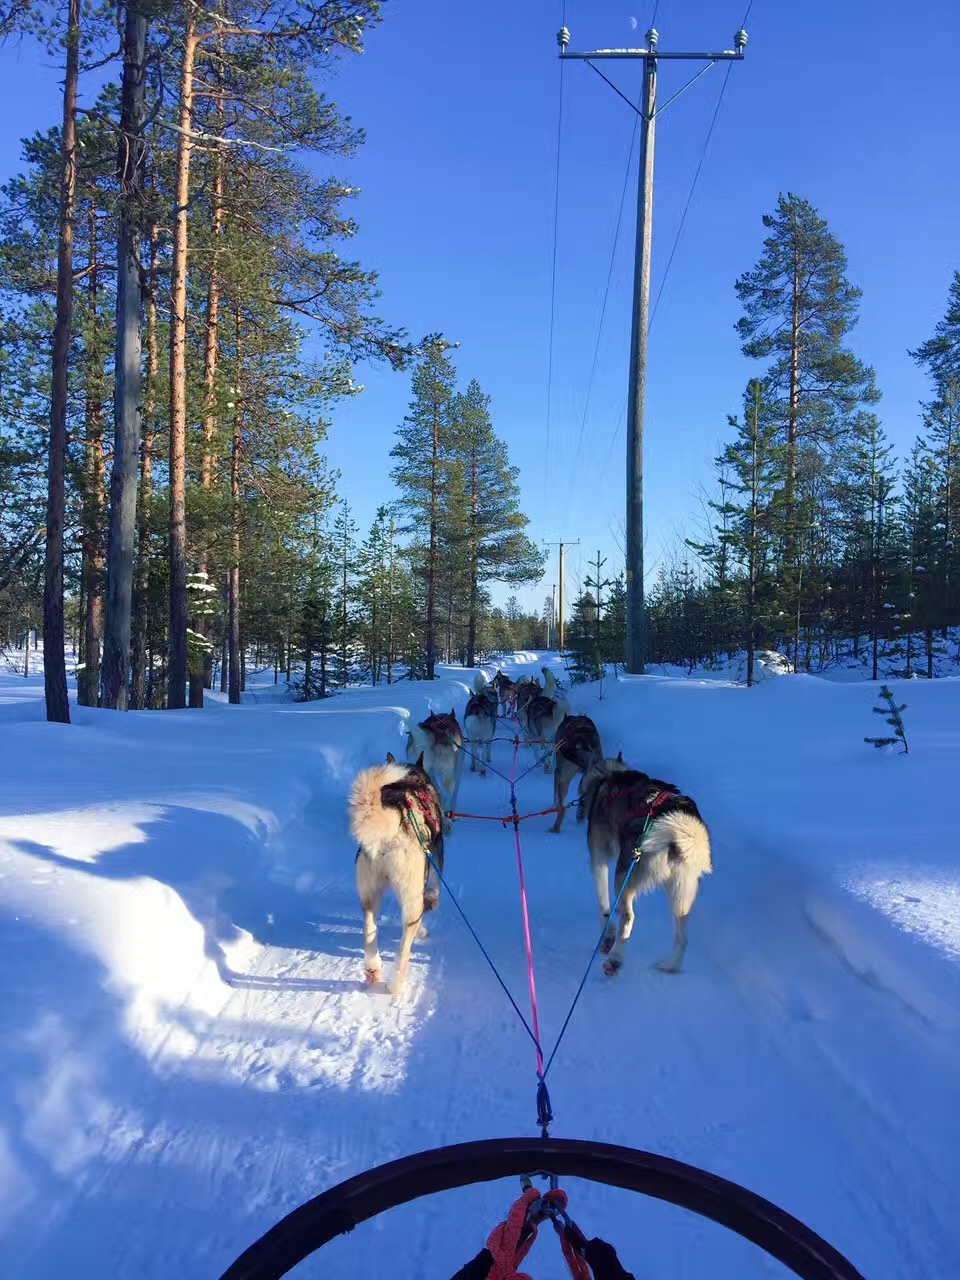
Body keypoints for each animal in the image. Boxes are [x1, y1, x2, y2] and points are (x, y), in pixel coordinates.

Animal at [350, 752, 448, 993]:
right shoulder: (436, 854)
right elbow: (434, 889)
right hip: (412, 897)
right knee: (404, 947)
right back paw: (395, 985)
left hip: (369, 894)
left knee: (369, 929)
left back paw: (372, 968)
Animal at [578, 752, 716, 972]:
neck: (607, 778)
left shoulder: (598, 860)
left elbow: (604, 906)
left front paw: (607, 937)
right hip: (680, 896)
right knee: (682, 938)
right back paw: (670, 965)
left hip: (624, 876)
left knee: (628, 918)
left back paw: (615, 959)